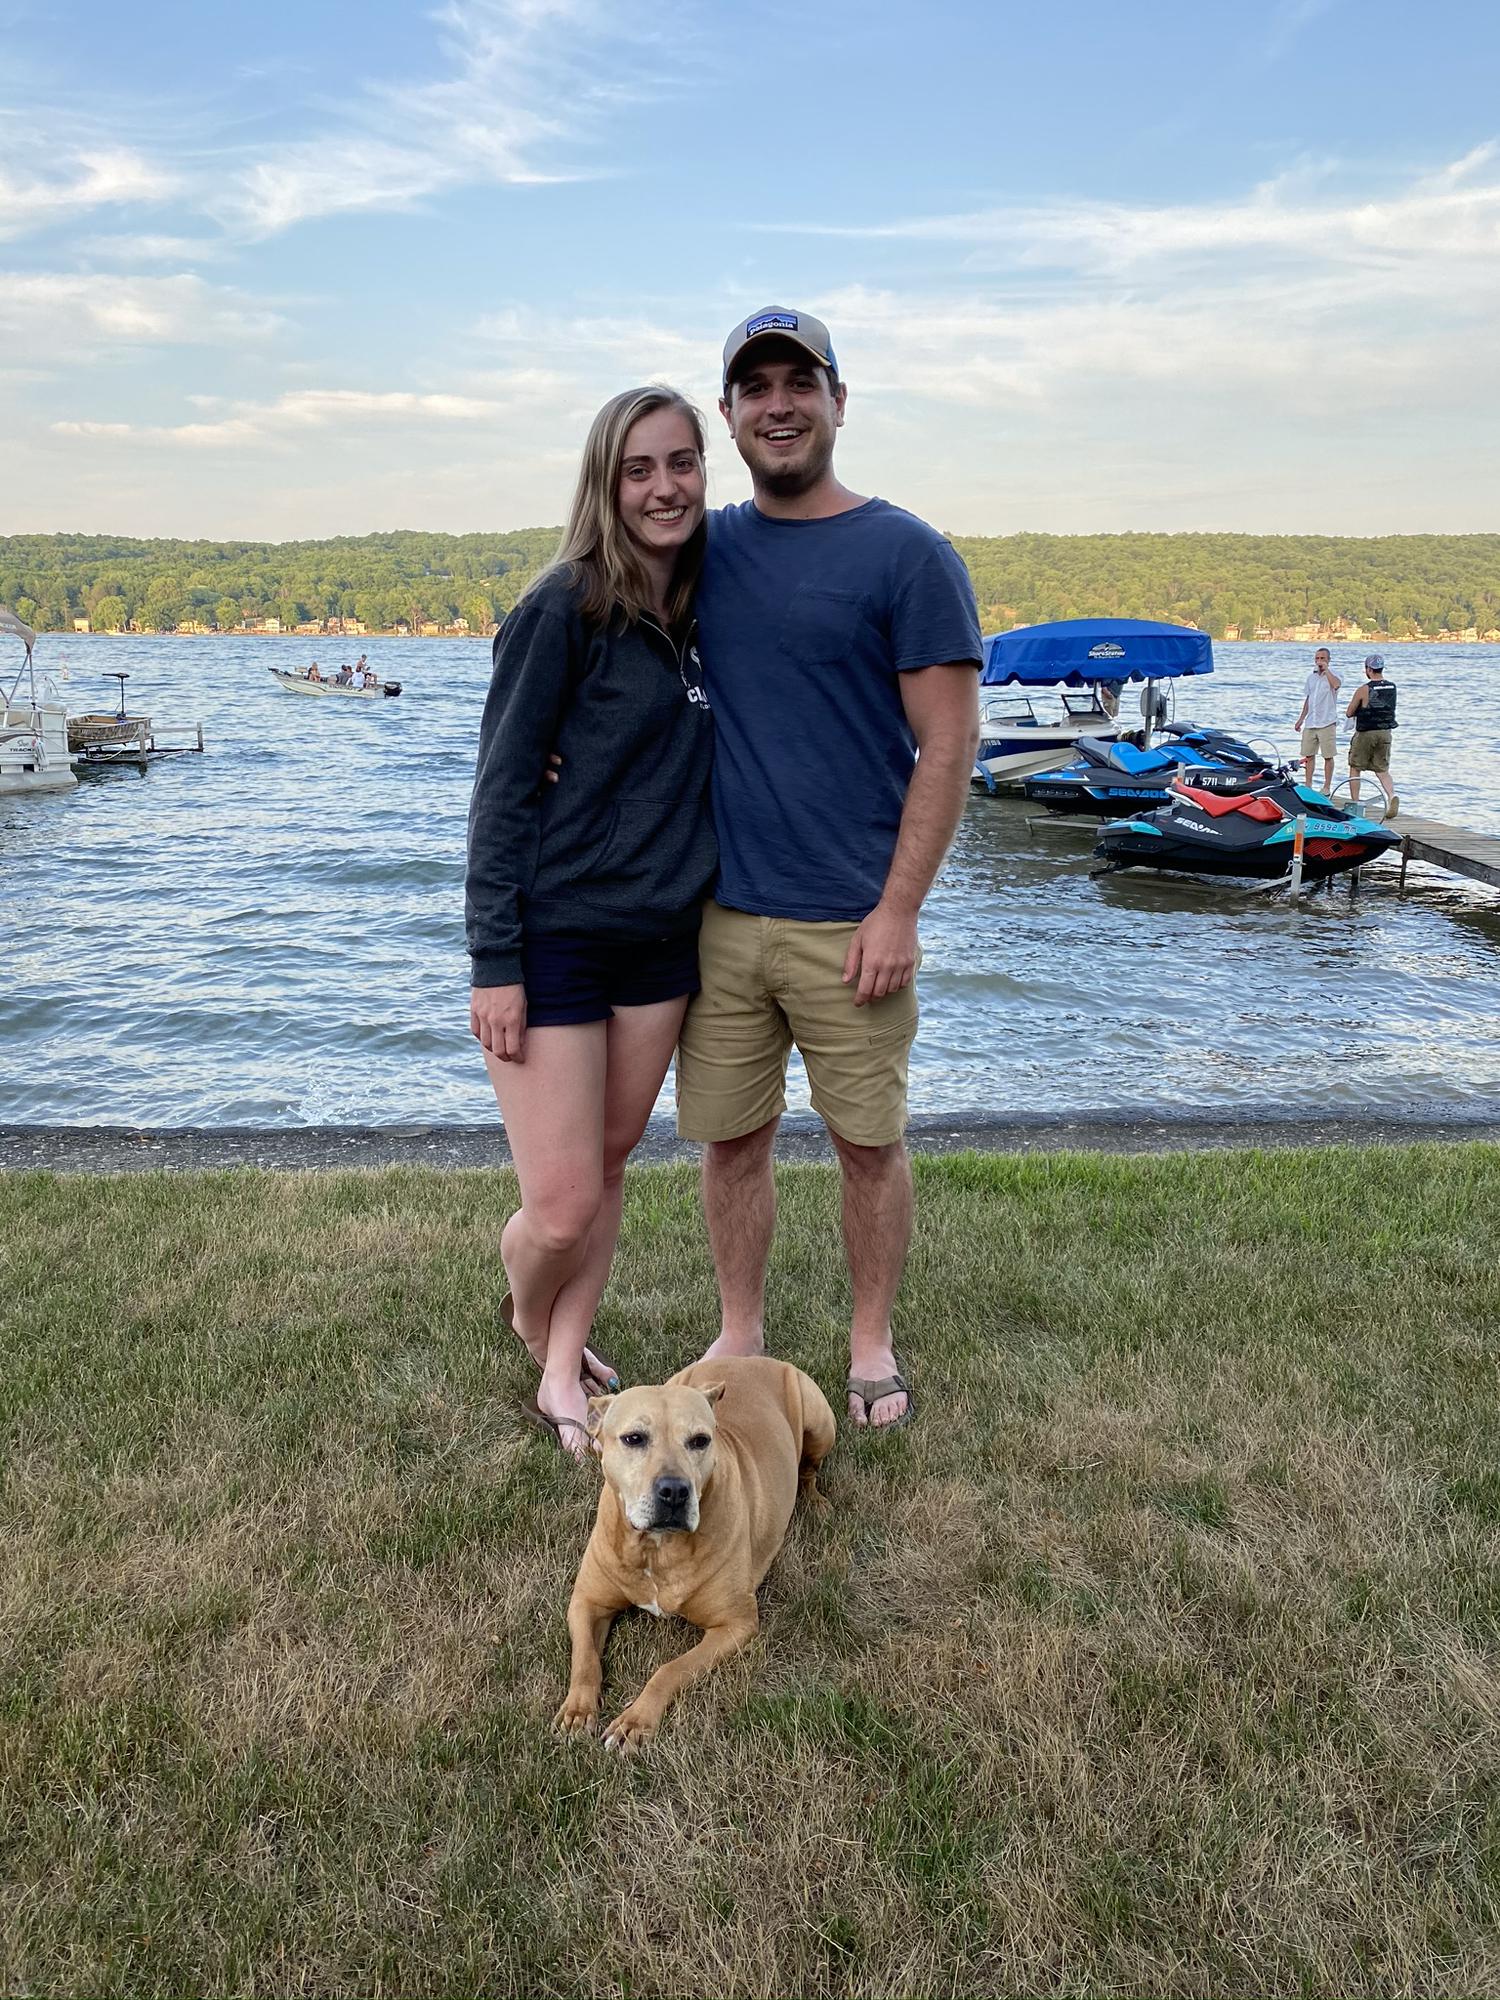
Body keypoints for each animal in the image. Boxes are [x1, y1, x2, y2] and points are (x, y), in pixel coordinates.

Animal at [556, 1360, 840, 1752]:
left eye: (699, 1441)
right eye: (633, 1438)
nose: (675, 1490)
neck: (656, 1549)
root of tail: (756, 1359)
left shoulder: (736, 1625)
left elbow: (671, 1668)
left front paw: (636, 1720)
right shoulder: (587, 1602)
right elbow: (584, 1659)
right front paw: (578, 1709)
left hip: (819, 1423)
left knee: (809, 1471)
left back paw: (816, 1503)